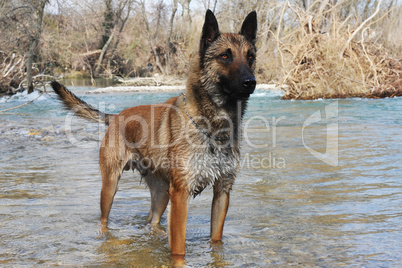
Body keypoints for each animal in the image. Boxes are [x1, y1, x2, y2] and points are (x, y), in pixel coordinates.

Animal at [51, 9, 258, 256]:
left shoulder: (222, 192)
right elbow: (178, 250)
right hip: (110, 186)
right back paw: (104, 236)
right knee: (104, 219)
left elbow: (216, 241)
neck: (213, 127)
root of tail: (117, 116)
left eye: (250, 57)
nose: (251, 82)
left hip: (161, 194)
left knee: (152, 221)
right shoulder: (181, 195)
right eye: (225, 56)